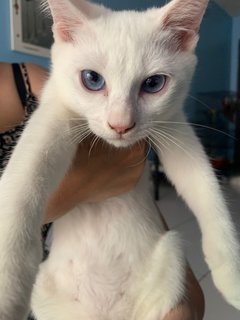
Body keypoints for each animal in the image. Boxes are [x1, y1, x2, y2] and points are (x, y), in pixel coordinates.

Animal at [0, 0, 240, 318]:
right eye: (92, 79)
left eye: (154, 83)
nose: (121, 125)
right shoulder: (55, 111)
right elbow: (26, 175)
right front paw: (7, 286)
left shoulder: (174, 126)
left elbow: (204, 186)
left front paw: (231, 275)